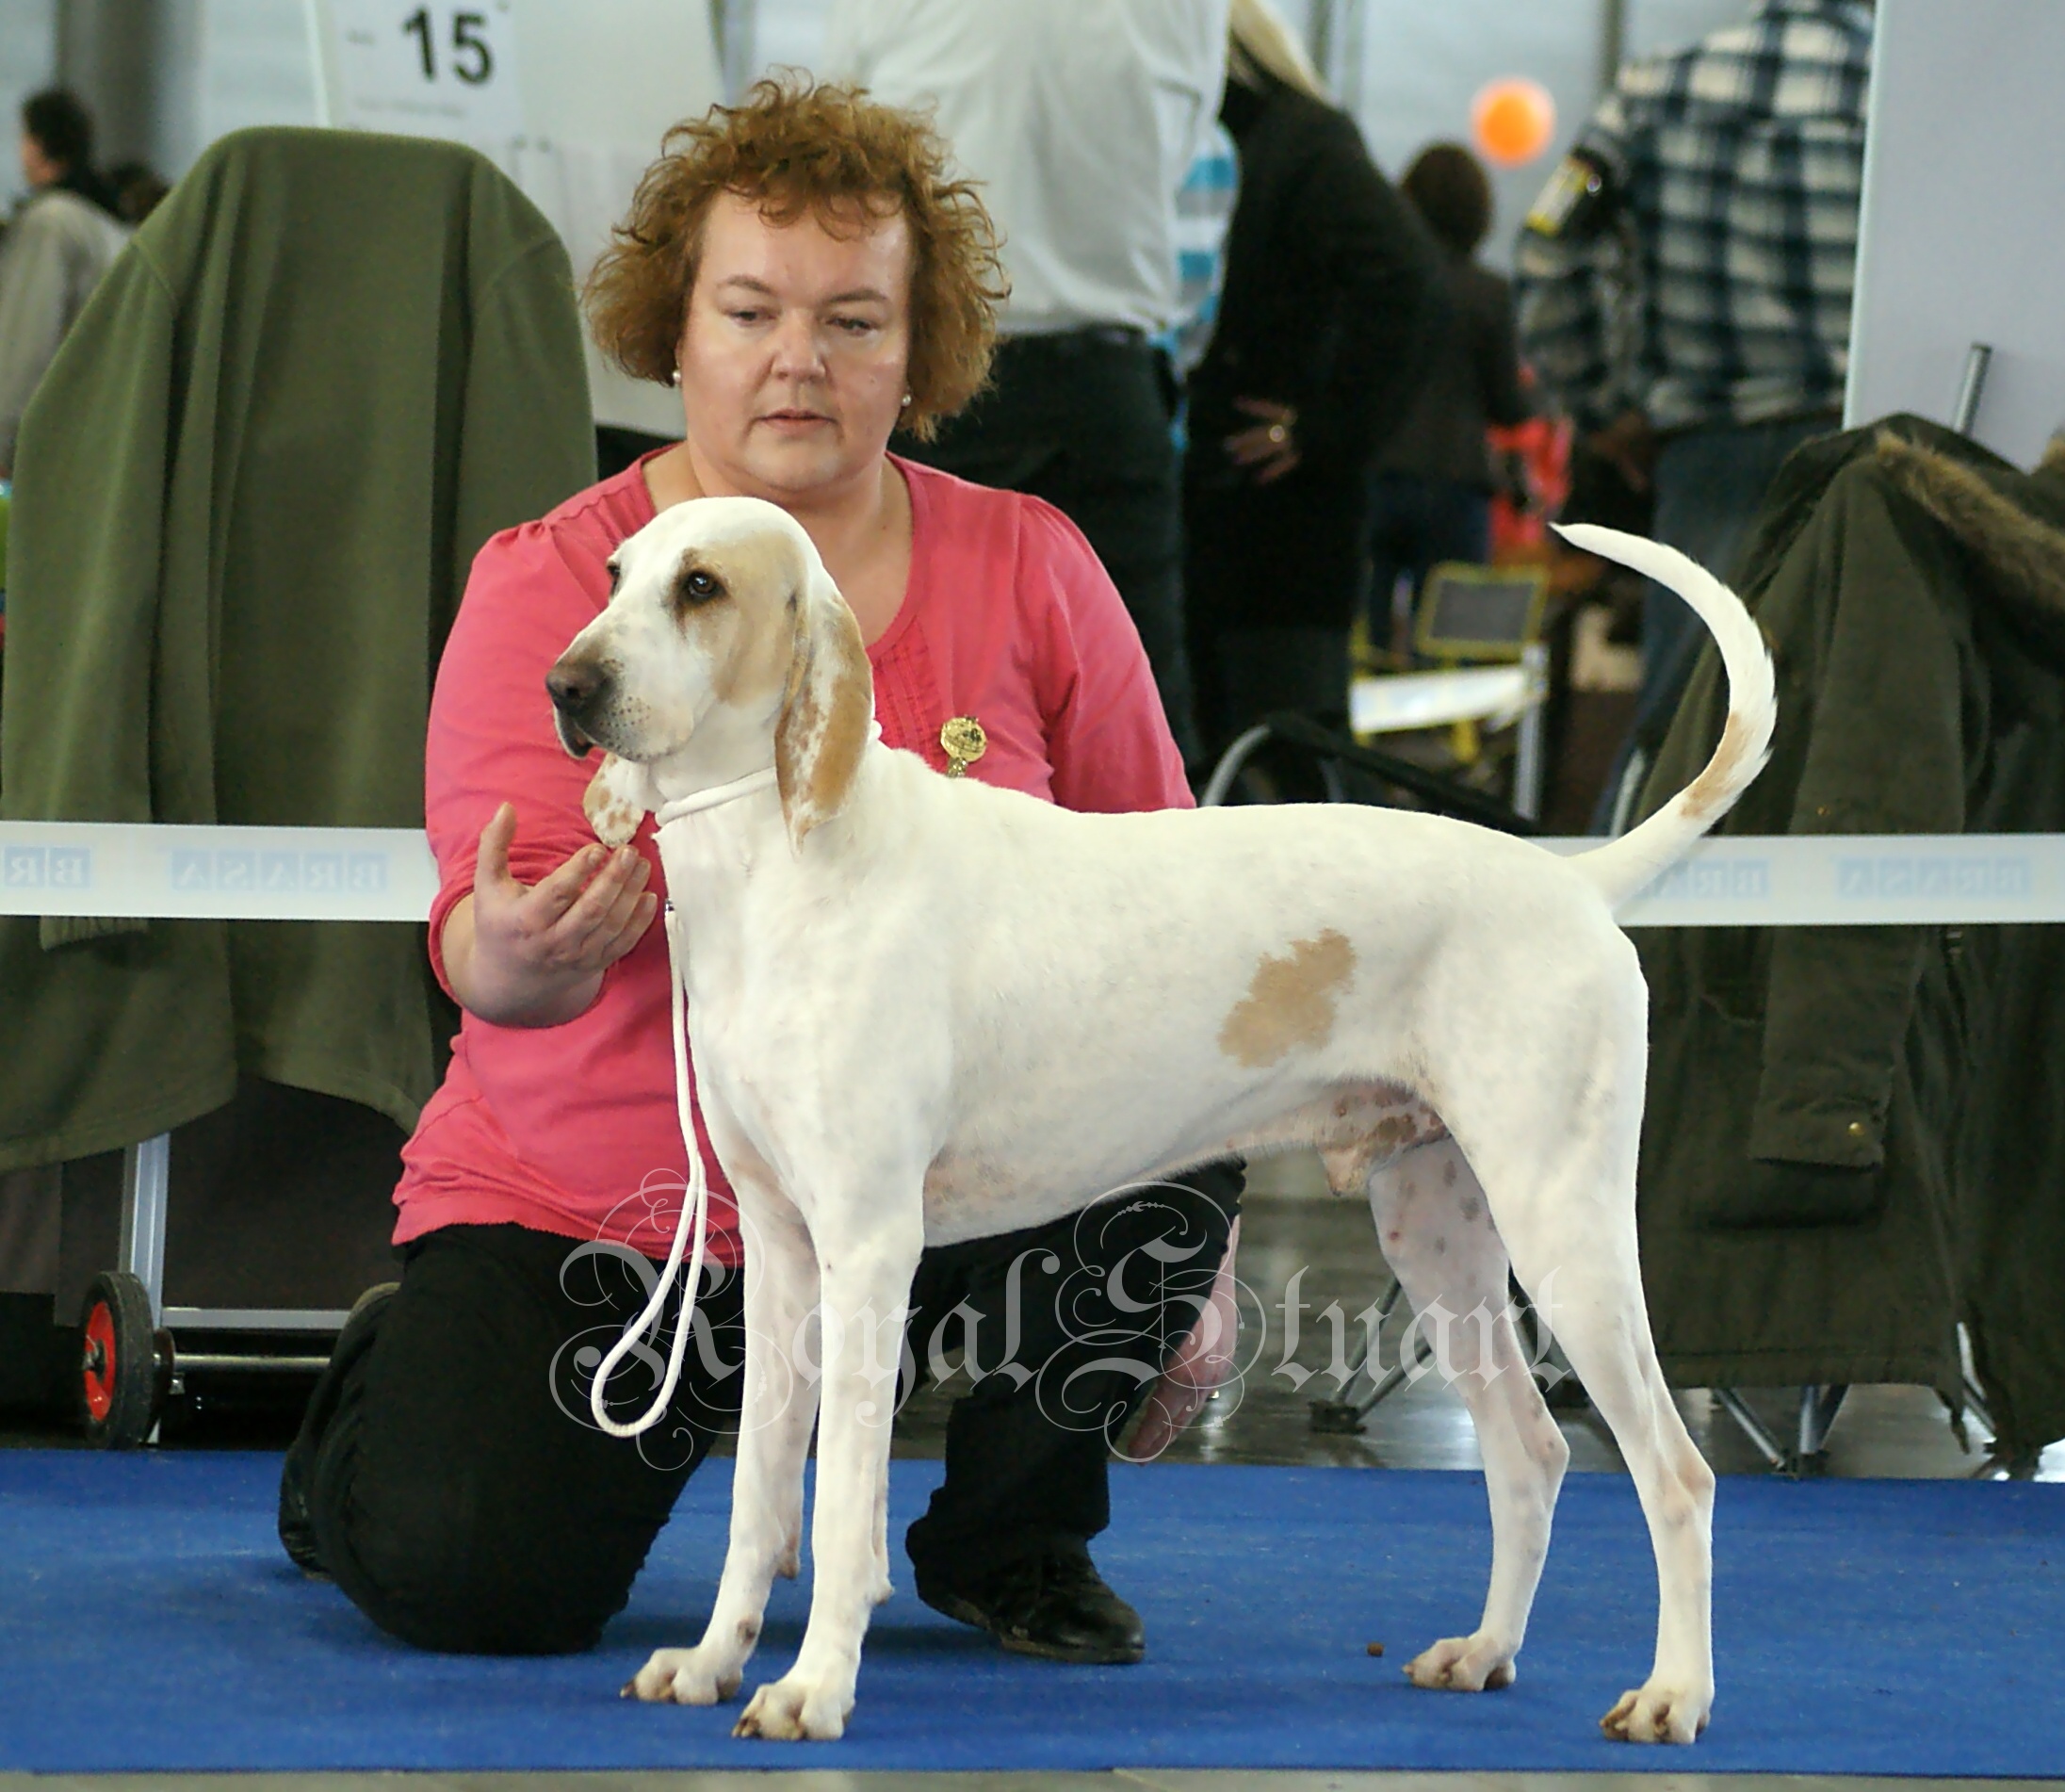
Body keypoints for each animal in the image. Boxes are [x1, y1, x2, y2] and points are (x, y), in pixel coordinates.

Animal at [549, 497, 1776, 1742]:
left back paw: (1673, 1694)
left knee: (1675, 1475)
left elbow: (841, 1504)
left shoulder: (867, 1244)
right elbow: (758, 1497)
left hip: (1561, 1228)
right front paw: (713, 1660)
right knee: (1529, 1452)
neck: (782, 862)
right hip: (1440, 1233)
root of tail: (1572, 883)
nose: (567, 683)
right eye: (611, 574)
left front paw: (812, 1689)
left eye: (700, 587)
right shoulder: (782, 1250)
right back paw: (1484, 1652)